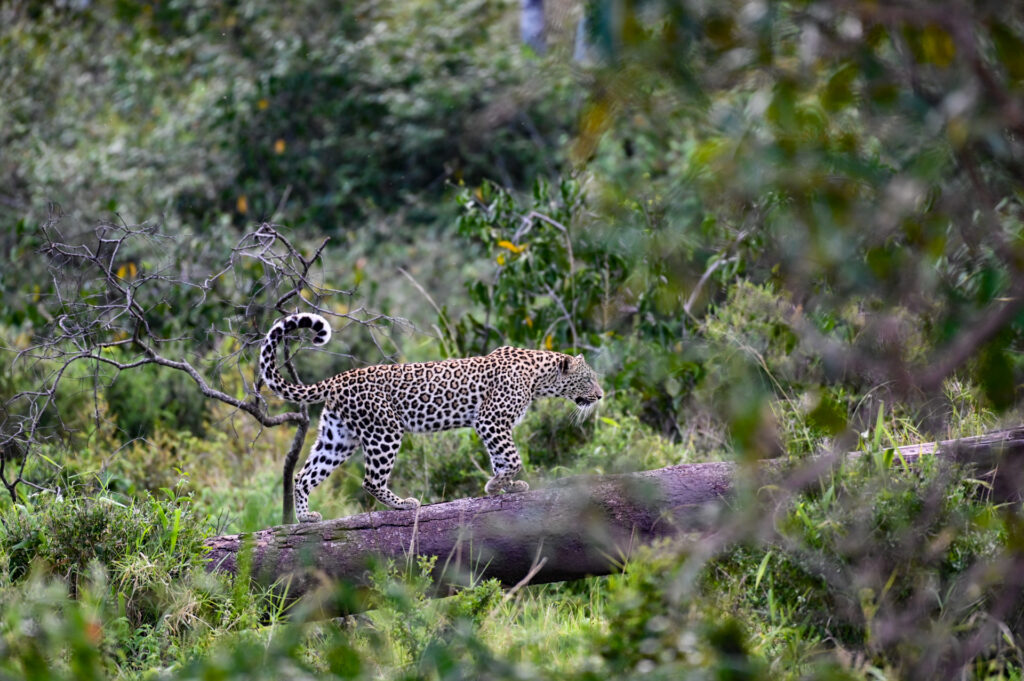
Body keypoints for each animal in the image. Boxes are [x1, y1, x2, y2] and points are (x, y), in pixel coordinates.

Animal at [260, 312, 604, 522]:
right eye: (588, 380)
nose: (600, 395)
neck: (538, 378)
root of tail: (338, 378)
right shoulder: (491, 420)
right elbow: (512, 457)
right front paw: (498, 484)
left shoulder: (492, 426)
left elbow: (501, 458)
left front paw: (504, 486)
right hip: (385, 431)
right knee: (370, 480)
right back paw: (403, 504)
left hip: (338, 437)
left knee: (303, 475)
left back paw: (306, 518)